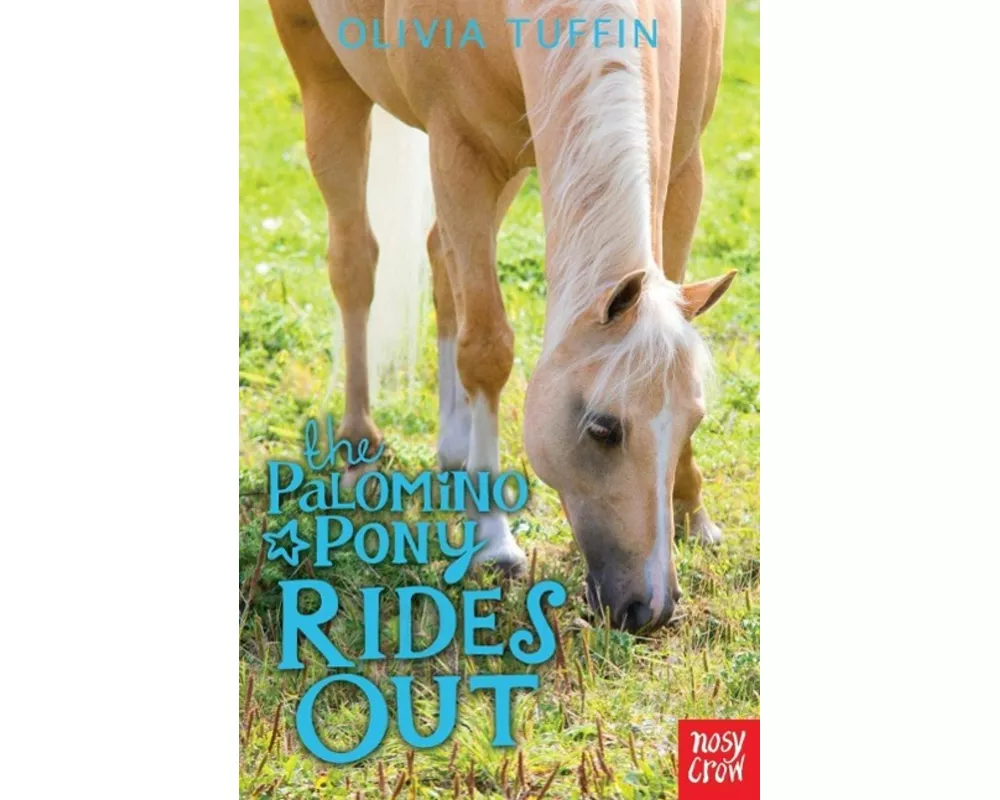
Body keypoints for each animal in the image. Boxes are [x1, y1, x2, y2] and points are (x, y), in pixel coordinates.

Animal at [267, 0, 735, 632]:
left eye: (694, 420)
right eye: (603, 428)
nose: (651, 609)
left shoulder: (685, 163)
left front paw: (692, 511)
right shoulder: (460, 150)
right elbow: (486, 350)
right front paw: (494, 542)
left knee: (440, 260)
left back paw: (454, 447)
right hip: (327, 82)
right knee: (354, 262)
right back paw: (360, 443)